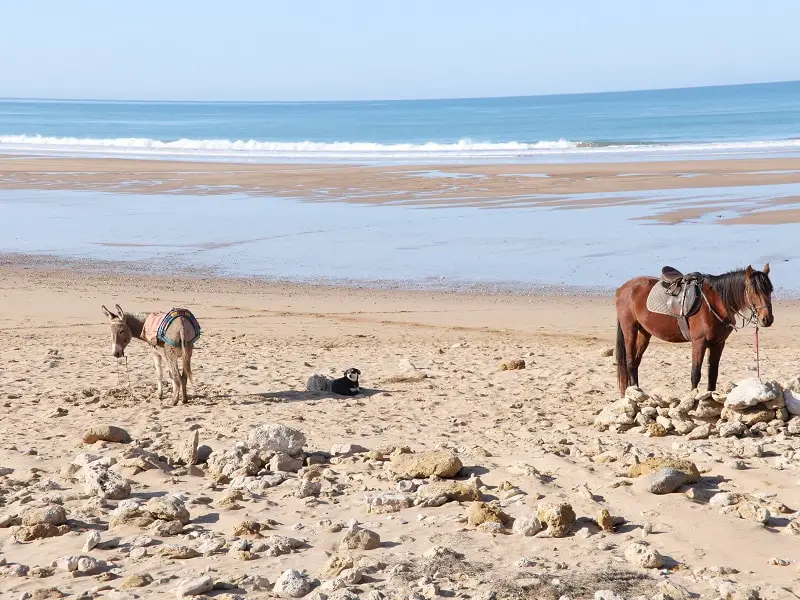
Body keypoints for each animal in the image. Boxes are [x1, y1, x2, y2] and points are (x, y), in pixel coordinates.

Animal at [616, 264, 772, 396]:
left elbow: (713, 375)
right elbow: (695, 374)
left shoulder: (718, 344)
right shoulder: (699, 343)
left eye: (770, 290)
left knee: (636, 362)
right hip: (630, 330)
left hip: (644, 333)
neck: (714, 304)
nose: (767, 319)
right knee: (630, 363)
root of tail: (623, 288)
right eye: (754, 291)